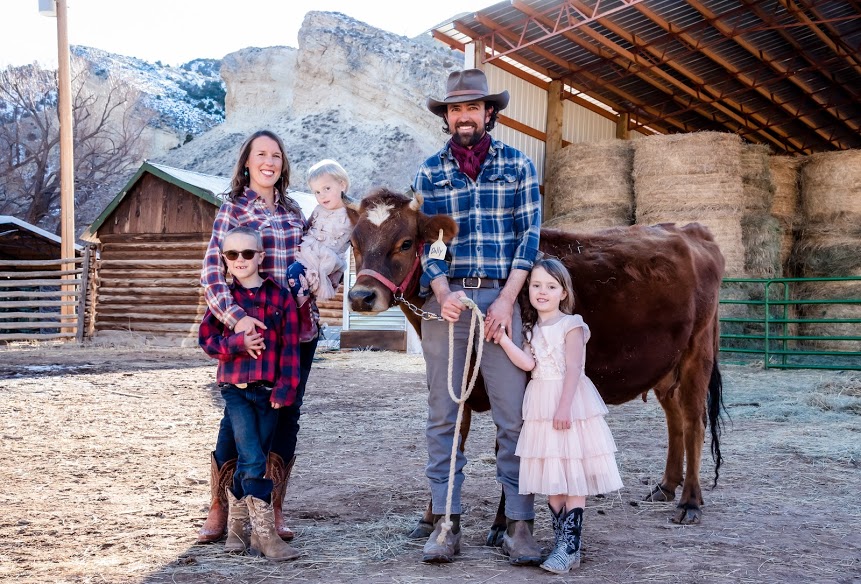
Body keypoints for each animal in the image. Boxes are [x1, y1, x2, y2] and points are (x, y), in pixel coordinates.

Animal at [342, 189, 724, 540]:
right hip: (666, 366)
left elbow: (510, 450)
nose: (362, 296)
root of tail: (690, 230)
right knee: (675, 419)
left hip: (697, 353)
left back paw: (689, 502)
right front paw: (432, 518)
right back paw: (666, 487)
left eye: (406, 243)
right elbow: (452, 443)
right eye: (354, 242)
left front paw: (503, 525)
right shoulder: (453, 381)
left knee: (694, 421)